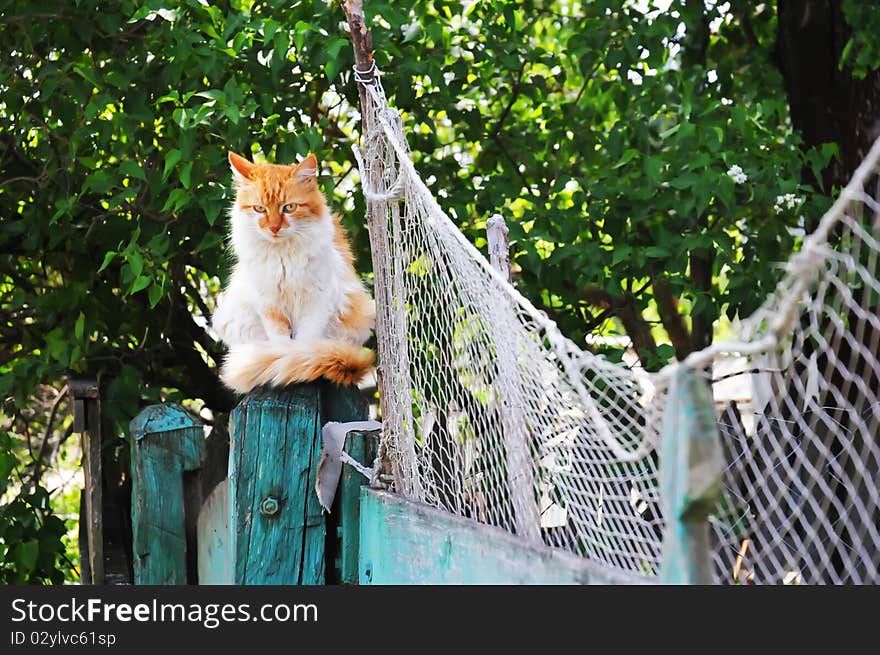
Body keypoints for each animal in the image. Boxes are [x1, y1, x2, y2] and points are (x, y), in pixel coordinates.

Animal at [215, 151, 376, 392]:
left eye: (289, 208)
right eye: (259, 209)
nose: (274, 228)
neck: (282, 255)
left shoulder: (316, 301)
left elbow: (304, 341)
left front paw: (297, 360)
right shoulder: (269, 304)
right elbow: (280, 341)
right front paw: (282, 357)